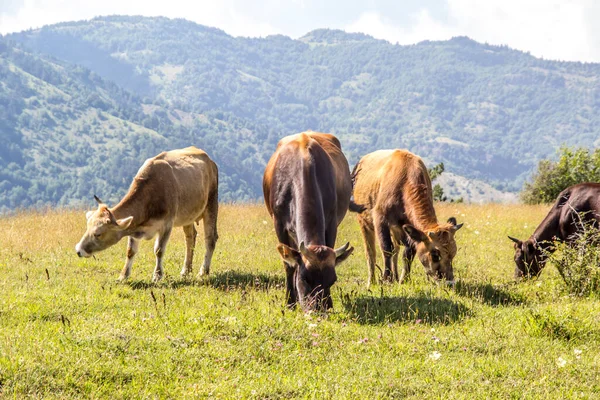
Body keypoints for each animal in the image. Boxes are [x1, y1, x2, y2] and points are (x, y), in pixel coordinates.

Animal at [74, 147, 219, 282]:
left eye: (98, 234)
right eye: (87, 229)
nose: (78, 250)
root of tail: (209, 160)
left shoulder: (167, 224)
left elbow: (159, 250)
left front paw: (157, 276)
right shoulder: (134, 226)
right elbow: (130, 251)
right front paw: (123, 275)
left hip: (211, 204)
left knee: (210, 239)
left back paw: (203, 271)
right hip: (188, 216)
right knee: (190, 238)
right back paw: (186, 270)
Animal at [262, 133, 356, 310]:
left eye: (332, 280)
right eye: (305, 278)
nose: (318, 309)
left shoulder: (331, 223)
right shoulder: (279, 225)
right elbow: (289, 265)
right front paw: (290, 302)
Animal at [350, 148, 462, 286]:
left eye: (453, 253)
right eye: (435, 254)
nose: (449, 282)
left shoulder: (408, 228)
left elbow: (408, 253)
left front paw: (404, 279)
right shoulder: (380, 219)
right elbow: (386, 249)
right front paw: (387, 278)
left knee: (396, 251)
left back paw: (396, 277)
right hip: (364, 222)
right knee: (371, 252)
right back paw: (372, 281)